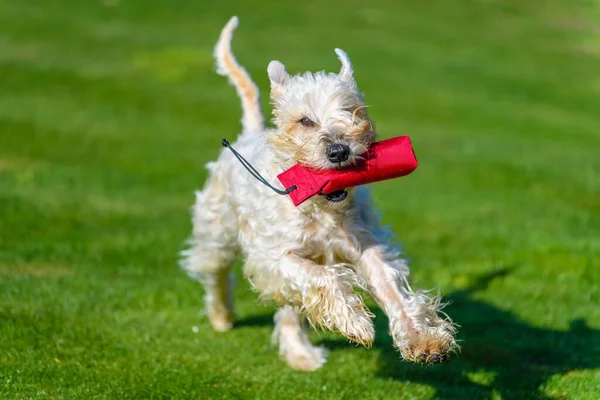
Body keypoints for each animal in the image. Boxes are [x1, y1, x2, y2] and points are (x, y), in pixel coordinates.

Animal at [180, 16, 458, 372]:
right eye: (305, 121)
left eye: (352, 111)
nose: (339, 151)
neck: (322, 209)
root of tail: (249, 133)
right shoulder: (275, 257)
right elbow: (321, 277)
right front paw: (355, 322)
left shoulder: (366, 246)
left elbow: (392, 290)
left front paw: (424, 341)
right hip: (218, 229)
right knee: (214, 271)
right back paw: (221, 316)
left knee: (289, 309)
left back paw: (300, 355)